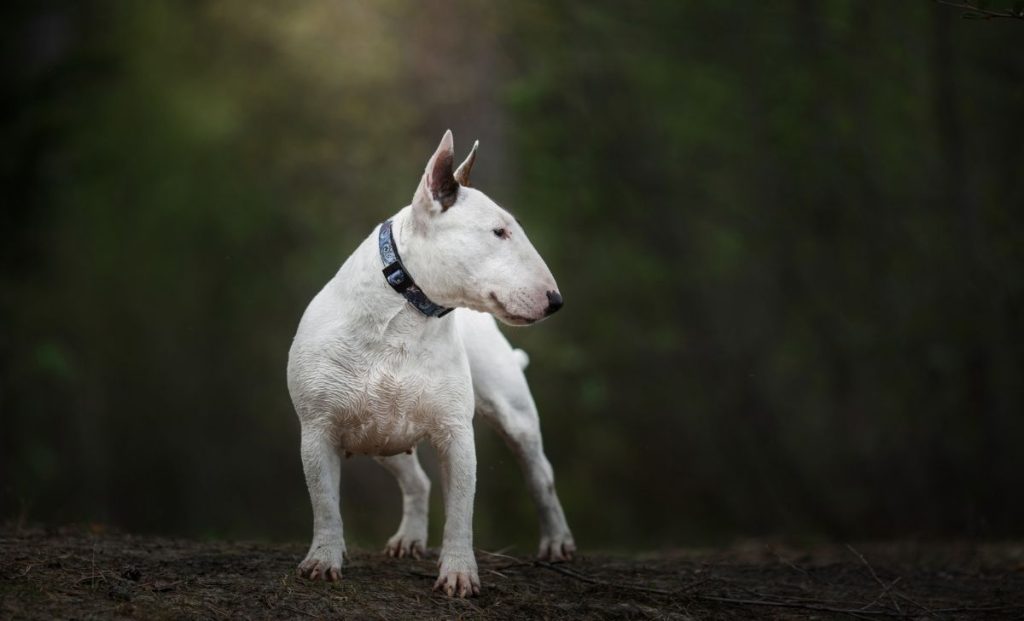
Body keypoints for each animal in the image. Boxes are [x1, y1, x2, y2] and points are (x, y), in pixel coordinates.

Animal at [288, 130, 577, 598]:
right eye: (498, 231)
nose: (556, 301)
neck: (406, 315)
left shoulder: (456, 434)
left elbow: (460, 510)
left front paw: (459, 574)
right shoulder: (317, 430)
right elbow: (325, 503)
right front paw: (322, 561)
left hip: (515, 416)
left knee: (541, 476)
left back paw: (556, 542)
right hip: (378, 435)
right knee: (416, 482)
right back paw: (408, 539)